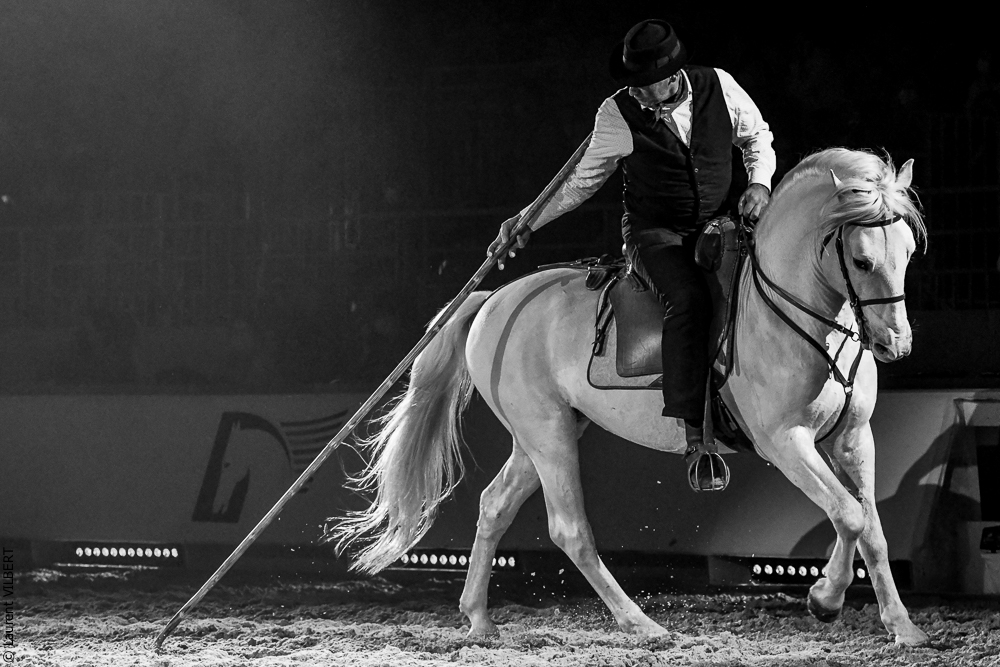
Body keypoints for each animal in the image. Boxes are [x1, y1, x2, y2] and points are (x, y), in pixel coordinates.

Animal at [330, 148, 929, 646]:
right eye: (861, 260)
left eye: (906, 253)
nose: (896, 344)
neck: (794, 311)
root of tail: (495, 298)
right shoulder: (786, 441)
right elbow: (847, 515)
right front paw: (823, 599)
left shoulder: (853, 439)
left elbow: (871, 528)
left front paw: (904, 629)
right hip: (548, 434)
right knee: (570, 530)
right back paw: (642, 624)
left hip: (543, 434)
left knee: (494, 506)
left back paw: (478, 619)